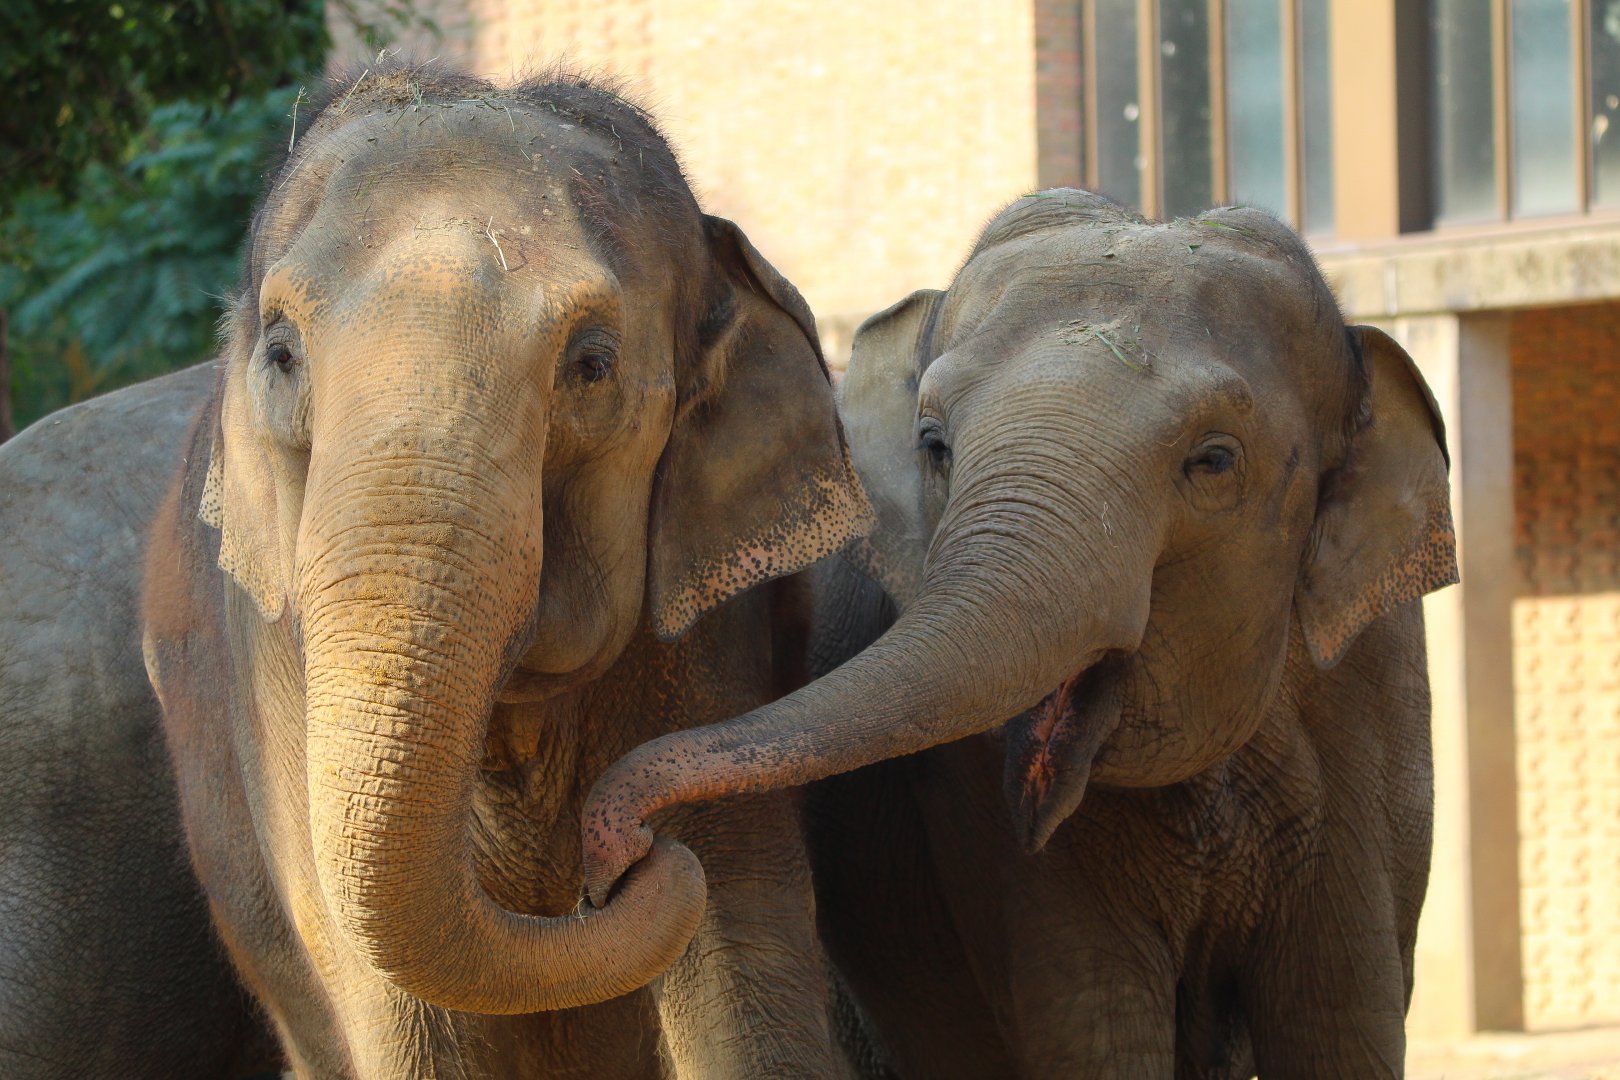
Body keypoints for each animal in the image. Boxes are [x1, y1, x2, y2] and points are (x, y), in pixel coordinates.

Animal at [139, 65, 872, 1078]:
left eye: (592, 365)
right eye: (281, 355)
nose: (622, 858)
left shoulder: (716, 646)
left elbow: (741, 947)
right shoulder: (275, 666)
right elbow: (400, 1008)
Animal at [581, 190, 1457, 1076]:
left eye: (1214, 461)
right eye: (933, 444)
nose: (618, 850)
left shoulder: (1374, 720)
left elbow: (1340, 1020)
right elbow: (1090, 1021)